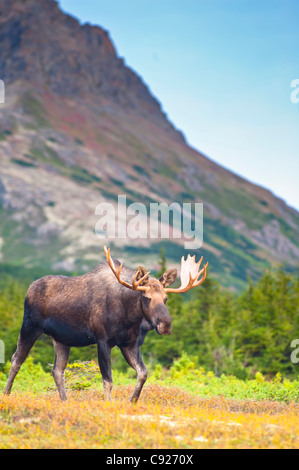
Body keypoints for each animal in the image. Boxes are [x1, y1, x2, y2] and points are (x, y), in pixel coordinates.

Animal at [4, 244, 209, 402]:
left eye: (166, 298)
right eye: (146, 297)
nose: (165, 325)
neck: (129, 317)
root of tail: (28, 289)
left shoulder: (128, 343)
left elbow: (142, 373)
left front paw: (132, 401)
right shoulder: (102, 340)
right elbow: (108, 380)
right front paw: (110, 405)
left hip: (61, 339)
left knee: (57, 370)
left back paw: (65, 401)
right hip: (30, 326)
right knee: (16, 360)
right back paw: (6, 394)